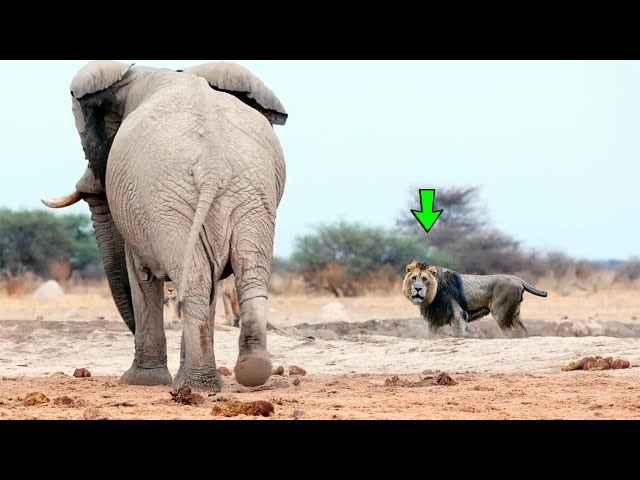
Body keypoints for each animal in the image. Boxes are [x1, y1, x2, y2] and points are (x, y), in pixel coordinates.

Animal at [41, 61, 286, 390]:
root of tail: (213, 165)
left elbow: (140, 274)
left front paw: (141, 381)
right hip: (250, 192)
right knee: (244, 275)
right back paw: (244, 373)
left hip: (169, 201)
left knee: (194, 280)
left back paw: (195, 386)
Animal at [402, 260, 548, 336]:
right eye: (414, 278)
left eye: (425, 279)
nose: (418, 289)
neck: (432, 294)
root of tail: (518, 279)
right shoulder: (435, 318)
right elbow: (430, 336)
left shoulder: (458, 314)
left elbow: (458, 335)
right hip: (515, 313)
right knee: (522, 331)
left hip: (501, 313)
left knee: (511, 333)